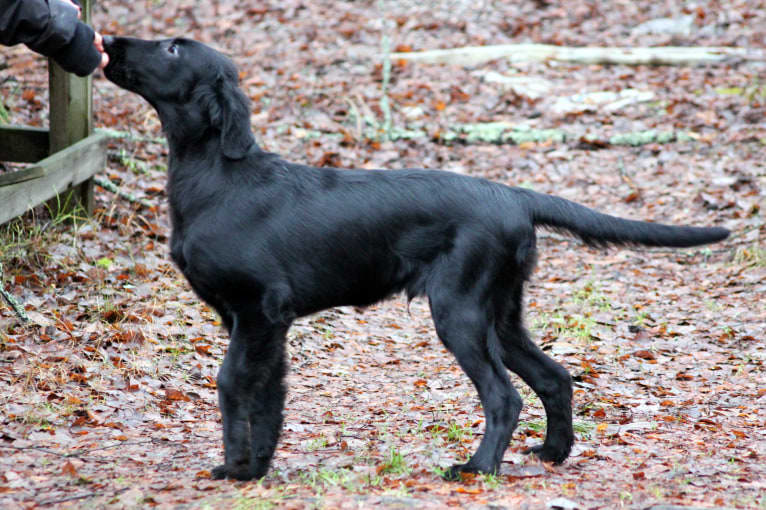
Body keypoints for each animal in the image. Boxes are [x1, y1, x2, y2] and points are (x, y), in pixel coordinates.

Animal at [103, 36, 732, 482]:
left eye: (174, 48)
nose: (110, 39)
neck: (215, 176)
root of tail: (515, 196)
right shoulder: (267, 323)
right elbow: (270, 396)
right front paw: (256, 468)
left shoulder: (255, 312)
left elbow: (232, 384)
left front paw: (234, 469)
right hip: (501, 312)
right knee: (554, 378)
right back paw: (552, 454)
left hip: (459, 310)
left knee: (504, 395)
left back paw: (477, 468)